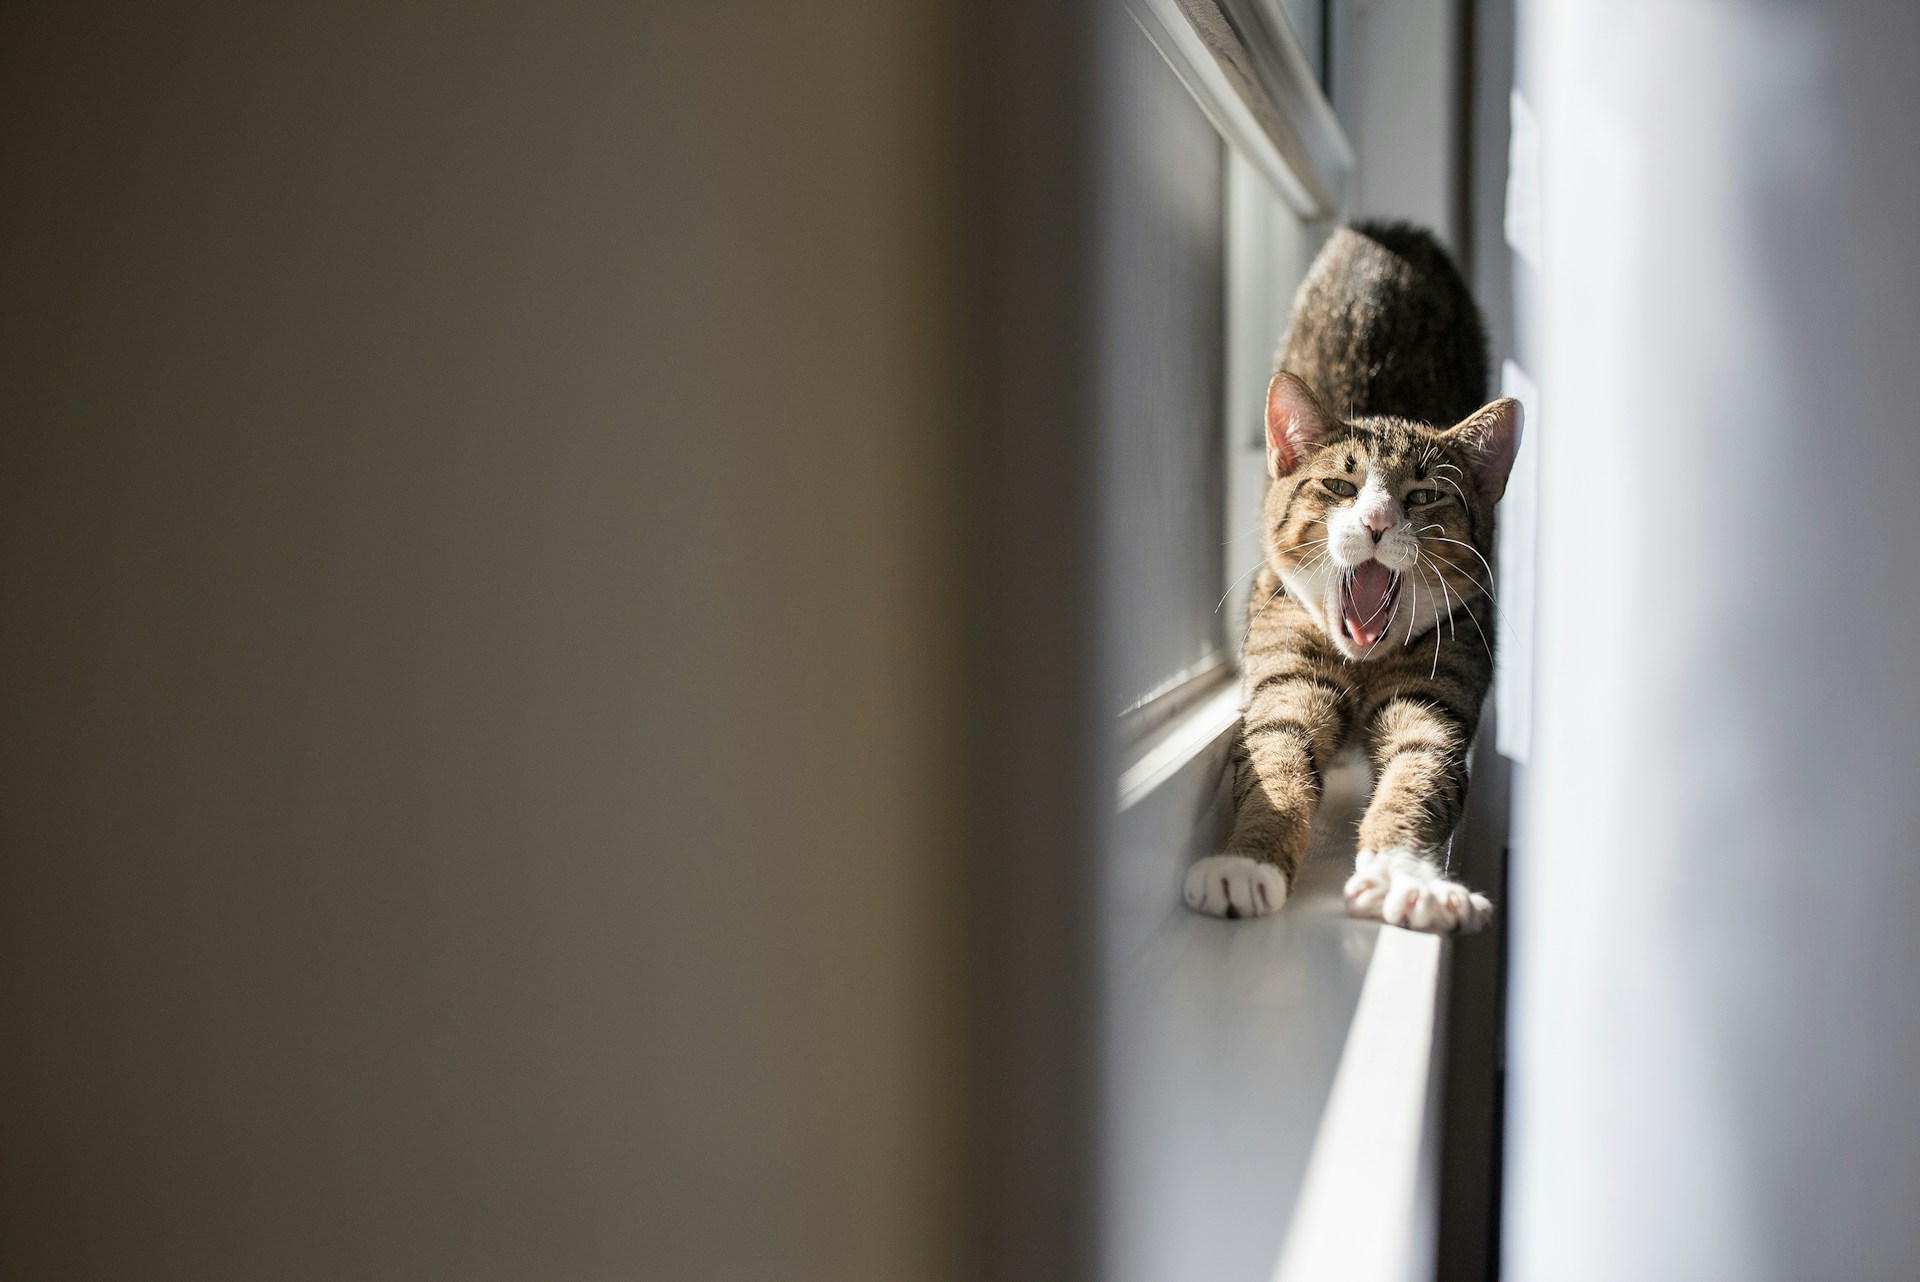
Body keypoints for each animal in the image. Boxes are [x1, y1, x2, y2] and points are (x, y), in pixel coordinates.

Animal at [1175, 225, 1520, 936]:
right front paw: (1244, 862)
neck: (1363, 663)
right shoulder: (1284, 659)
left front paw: (1407, 878)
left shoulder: (1443, 678)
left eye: (1423, 495)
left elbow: (1421, 768)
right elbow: (1274, 756)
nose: (1378, 520)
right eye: (1339, 485)